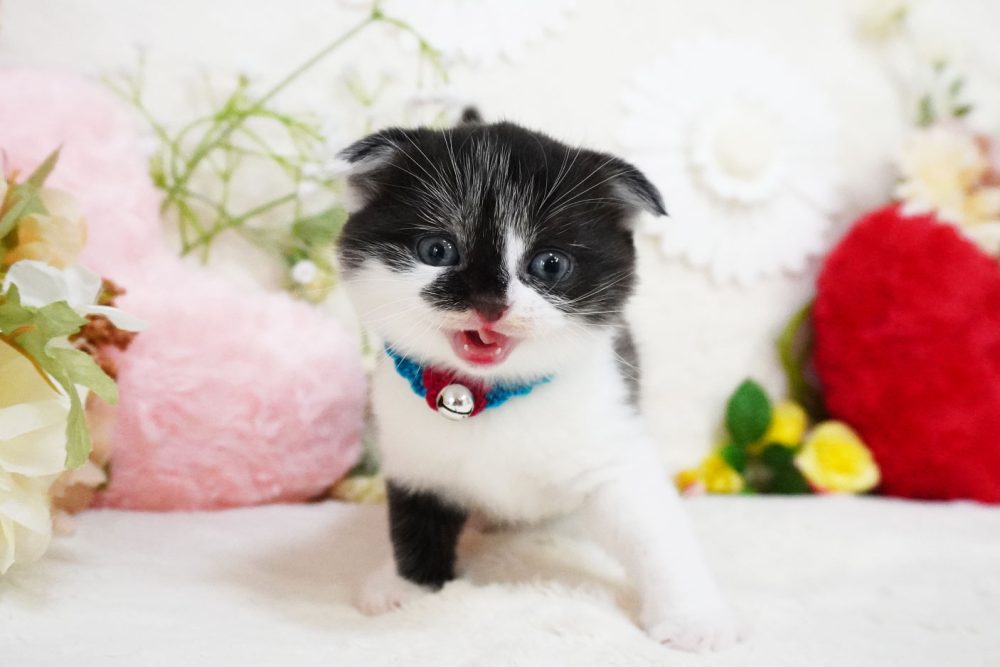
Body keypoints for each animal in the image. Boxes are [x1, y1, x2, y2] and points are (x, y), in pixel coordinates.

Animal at [336, 110, 743, 652]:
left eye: (549, 264)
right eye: (437, 250)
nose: (490, 303)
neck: (491, 393)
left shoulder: (612, 447)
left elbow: (655, 534)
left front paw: (693, 617)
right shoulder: (412, 451)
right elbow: (414, 519)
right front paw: (409, 584)